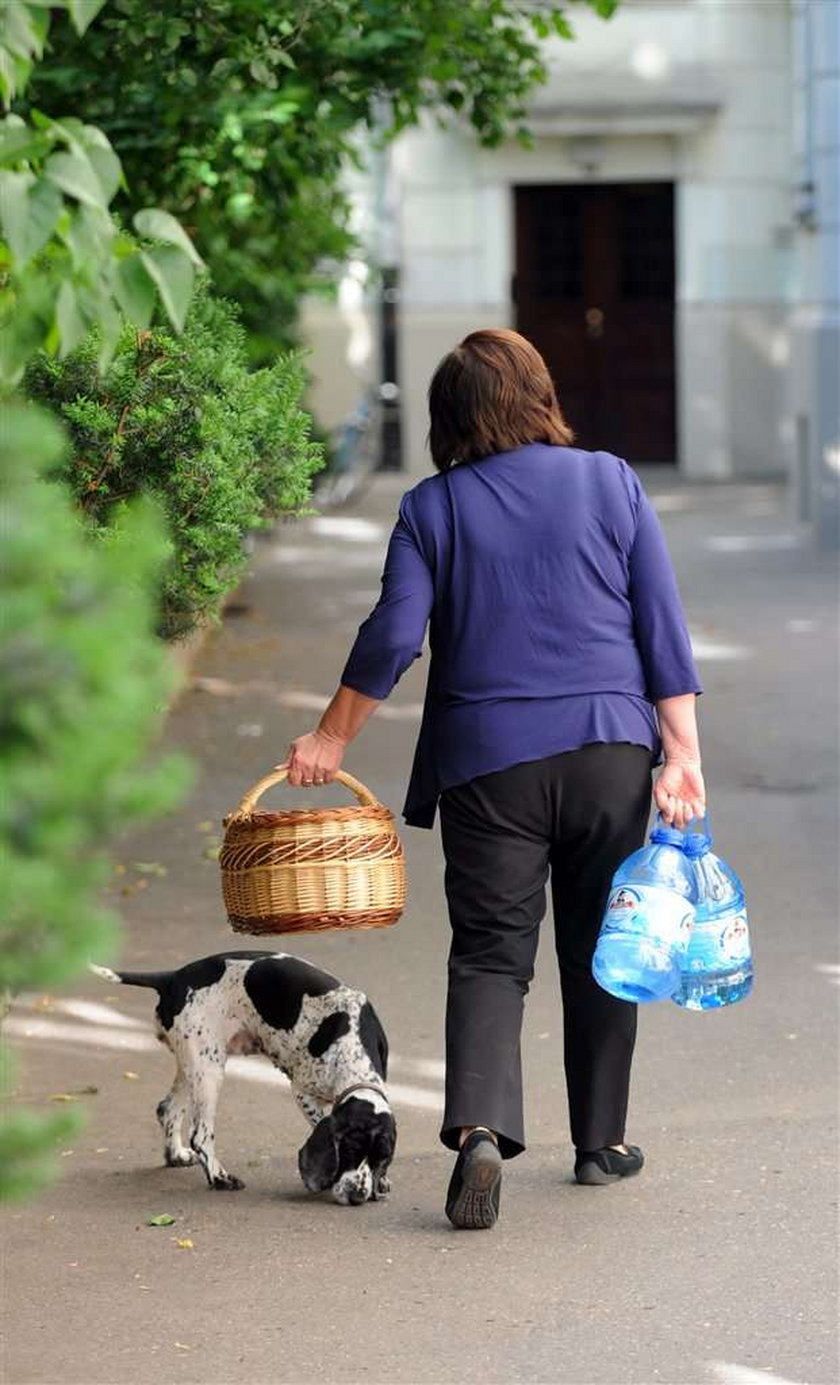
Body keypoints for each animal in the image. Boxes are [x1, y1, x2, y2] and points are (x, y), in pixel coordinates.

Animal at [93, 947, 396, 1207]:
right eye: (350, 1150)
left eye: (382, 1159)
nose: (357, 1196)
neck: (352, 1049)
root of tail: (173, 978)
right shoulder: (303, 1092)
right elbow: (320, 1122)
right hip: (209, 1070)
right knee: (200, 1135)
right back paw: (219, 1178)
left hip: (192, 1065)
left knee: (167, 1109)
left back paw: (175, 1155)